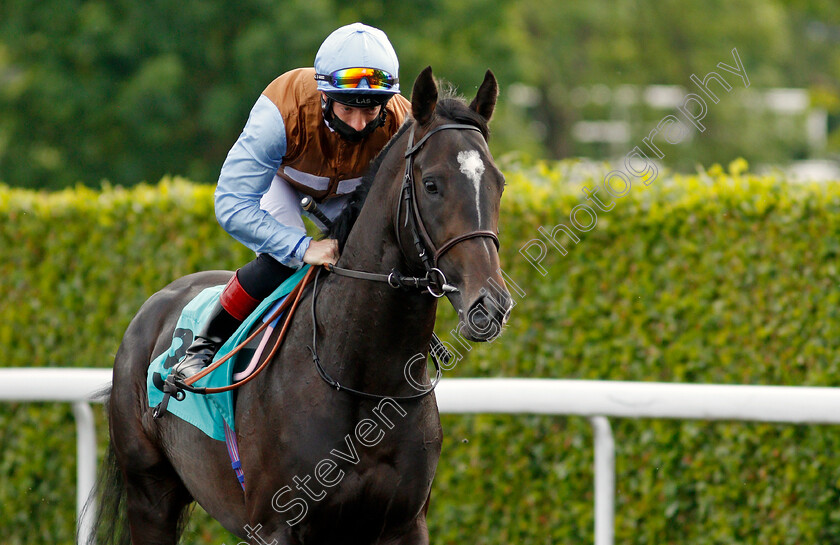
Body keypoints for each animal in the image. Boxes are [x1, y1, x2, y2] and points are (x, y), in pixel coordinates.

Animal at [93, 68, 512, 544]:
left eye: (498, 183)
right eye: (432, 184)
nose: (490, 303)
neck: (363, 381)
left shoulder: (405, 524)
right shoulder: (278, 524)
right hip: (150, 494)